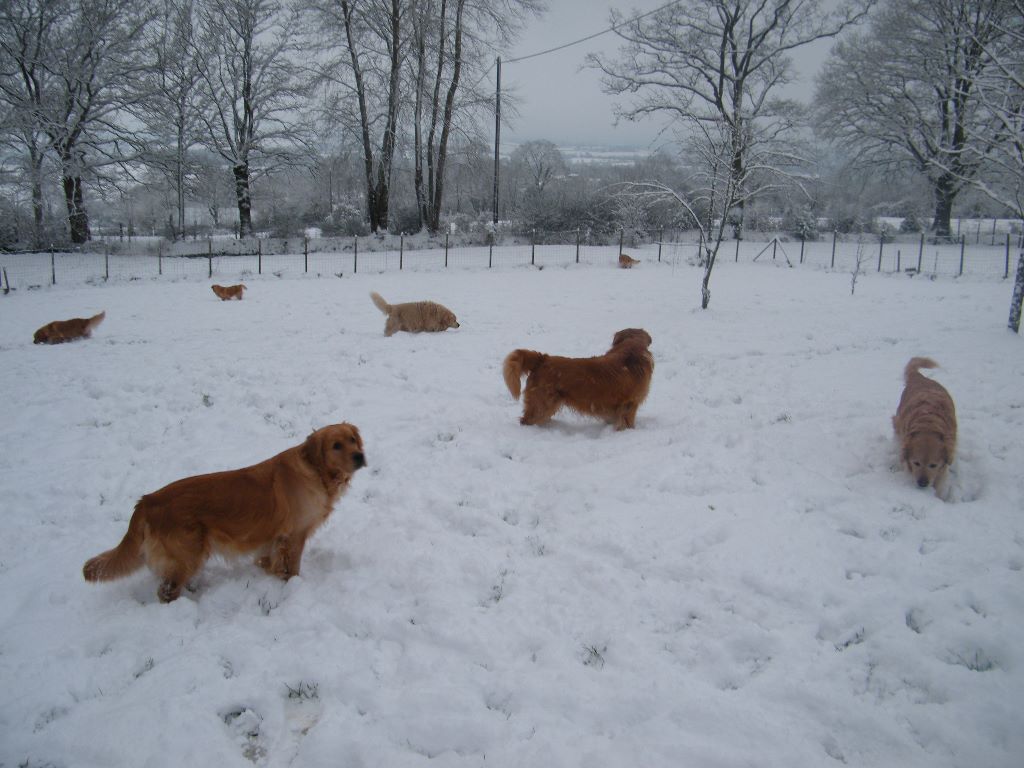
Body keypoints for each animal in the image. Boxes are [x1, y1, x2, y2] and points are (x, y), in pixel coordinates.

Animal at [83, 423, 366, 606]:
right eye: (336, 445)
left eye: (352, 439)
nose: (360, 456)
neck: (316, 471)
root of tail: (147, 501)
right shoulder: (295, 535)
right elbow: (292, 567)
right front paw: (292, 585)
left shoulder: (273, 538)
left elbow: (268, 560)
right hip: (188, 553)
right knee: (166, 591)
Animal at [503, 327, 655, 430]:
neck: (630, 351)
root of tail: (542, 359)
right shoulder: (630, 404)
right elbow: (626, 423)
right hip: (542, 404)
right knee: (526, 420)